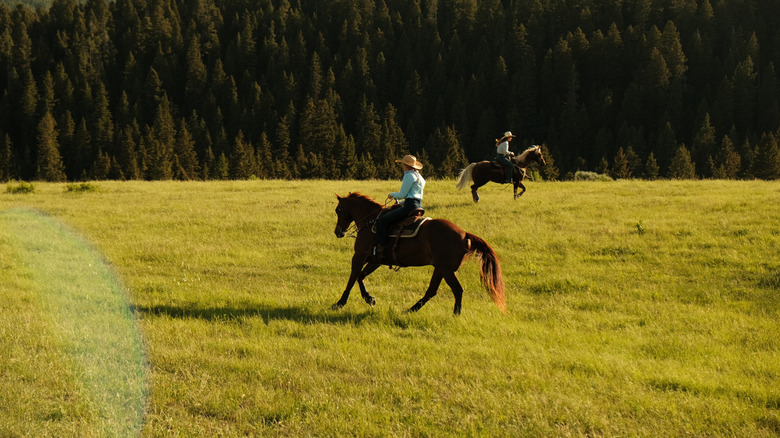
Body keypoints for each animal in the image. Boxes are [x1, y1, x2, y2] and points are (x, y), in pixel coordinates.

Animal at [333, 193, 505, 315]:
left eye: (339, 210)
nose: (338, 232)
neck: (371, 222)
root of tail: (464, 234)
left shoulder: (359, 256)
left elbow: (353, 278)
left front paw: (340, 302)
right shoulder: (375, 260)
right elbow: (360, 277)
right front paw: (369, 299)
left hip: (446, 270)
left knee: (457, 290)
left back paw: (455, 314)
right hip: (440, 269)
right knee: (432, 291)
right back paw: (411, 310)